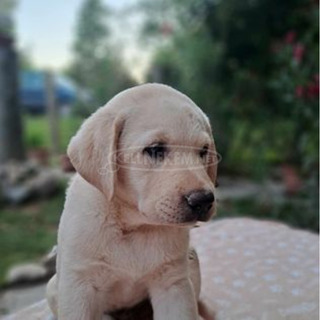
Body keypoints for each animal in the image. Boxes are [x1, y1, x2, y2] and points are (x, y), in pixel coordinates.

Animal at [46, 84, 218, 318]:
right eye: (155, 149)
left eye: (204, 151)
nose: (203, 200)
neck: (132, 226)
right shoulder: (79, 285)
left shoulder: (173, 284)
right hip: (54, 286)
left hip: (190, 262)